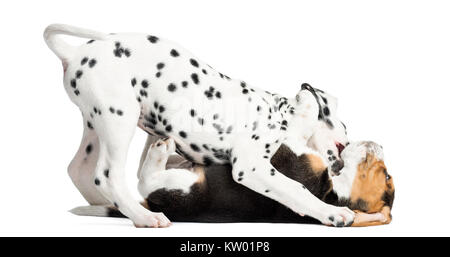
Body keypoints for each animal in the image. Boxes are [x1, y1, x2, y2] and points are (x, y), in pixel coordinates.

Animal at [45, 24, 354, 226]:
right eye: (345, 134)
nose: (343, 160)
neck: (279, 114)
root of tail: (73, 54)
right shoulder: (251, 166)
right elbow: (295, 187)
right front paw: (331, 212)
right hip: (118, 118)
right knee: (107, 175)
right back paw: (144, 216)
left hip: (96, 124)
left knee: (78, 169)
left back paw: (113, 207)